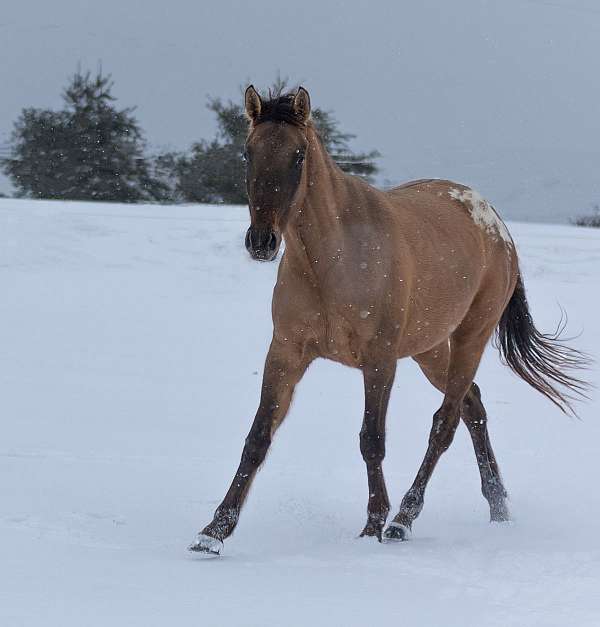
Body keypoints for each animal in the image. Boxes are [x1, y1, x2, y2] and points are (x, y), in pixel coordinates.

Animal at [190, 84, 588, 556]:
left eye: (298, 155)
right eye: (248, 152)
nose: (262, 242)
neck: (331, 259)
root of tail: (496, 223)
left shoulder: (379, 360)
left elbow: (371, 440)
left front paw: (373, 525)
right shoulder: (286, 352)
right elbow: (257, 438)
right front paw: (214, 531)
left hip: (469, 338)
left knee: (445, 422)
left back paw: (404, 519)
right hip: (430, 349)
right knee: (472, 406)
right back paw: (498, 508)